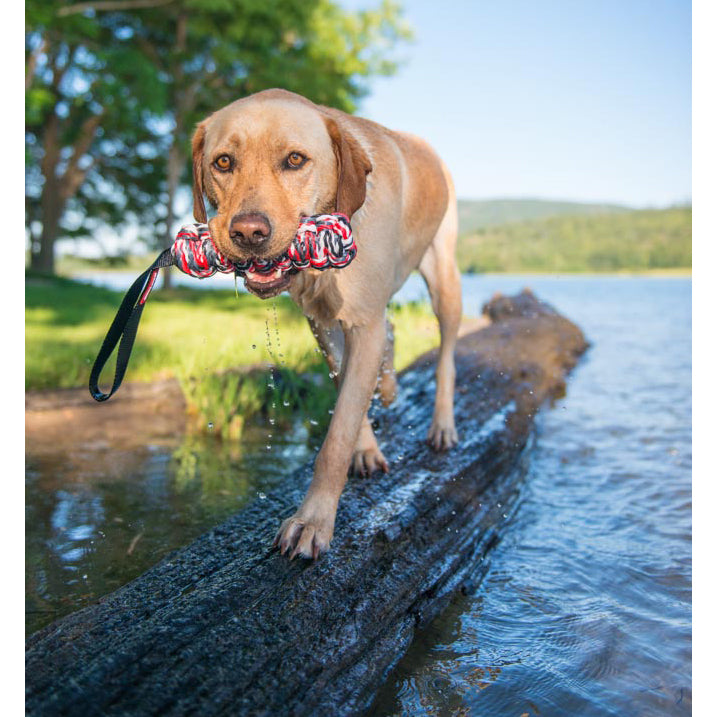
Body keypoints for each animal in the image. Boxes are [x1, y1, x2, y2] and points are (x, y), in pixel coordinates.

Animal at [189, 91, 458, 560]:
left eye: (295, 160)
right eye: (223, 162)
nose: (248, 233)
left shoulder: (363, 323)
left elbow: (336, 437)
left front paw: (312, 521)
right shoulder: (324, 323)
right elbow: (346, 393)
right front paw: (365, 448)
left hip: (445, 284)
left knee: (446, 357)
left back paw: (442, 424)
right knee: (393, 332)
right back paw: (390, 388)